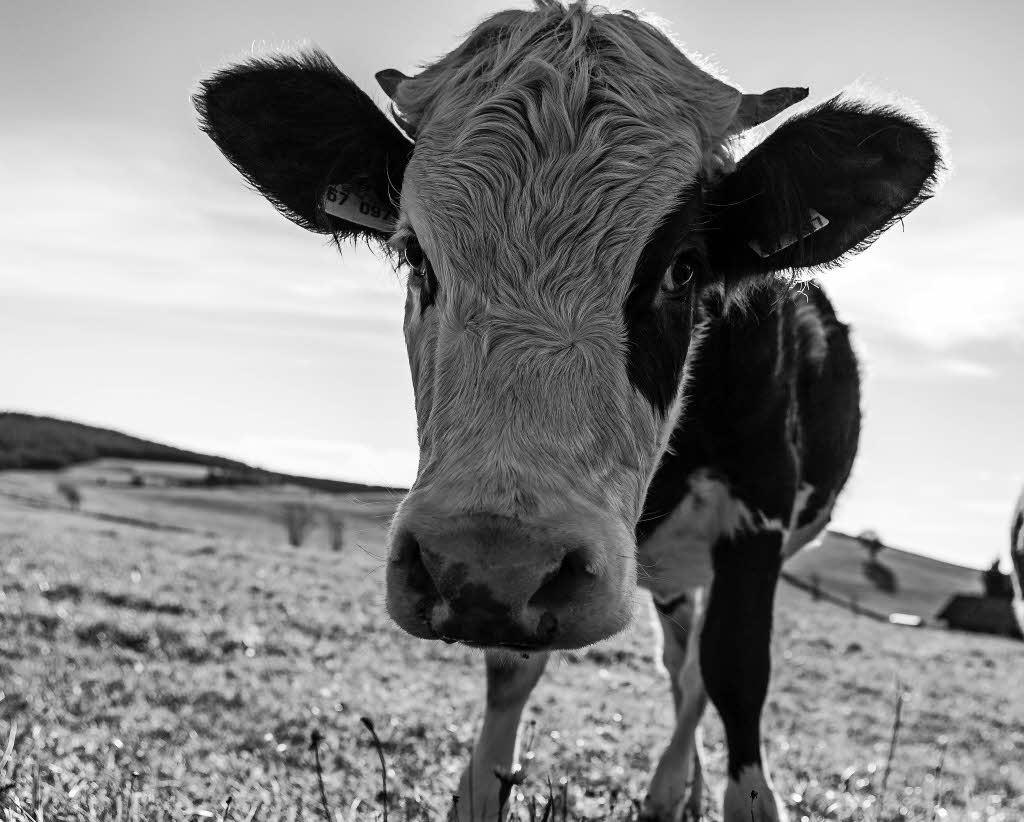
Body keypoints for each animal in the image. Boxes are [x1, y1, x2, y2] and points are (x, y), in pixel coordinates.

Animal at [193, 3, 942, 818]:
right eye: (416, 255)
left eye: (683, 268)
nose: (498, 564)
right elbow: (511, 678)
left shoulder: (760, 514)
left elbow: (737, 673)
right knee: (678, 664)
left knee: (696, 676)